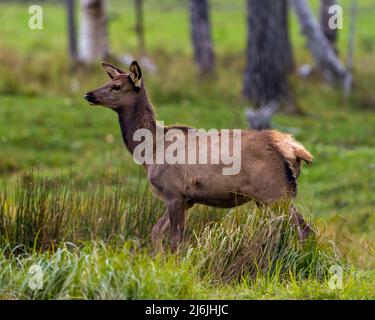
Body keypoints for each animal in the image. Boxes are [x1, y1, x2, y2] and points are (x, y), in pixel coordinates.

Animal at [85, 60, 314, 251]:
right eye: (109, 80)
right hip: (271, 197)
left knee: (302, 229)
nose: (88, 94)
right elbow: (155, 231)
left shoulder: (174, 192)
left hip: (275, 192)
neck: (151, 152)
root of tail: (294, 150)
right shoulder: (187, 199)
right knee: (300, 228)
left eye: (116, 86)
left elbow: (175, 241)